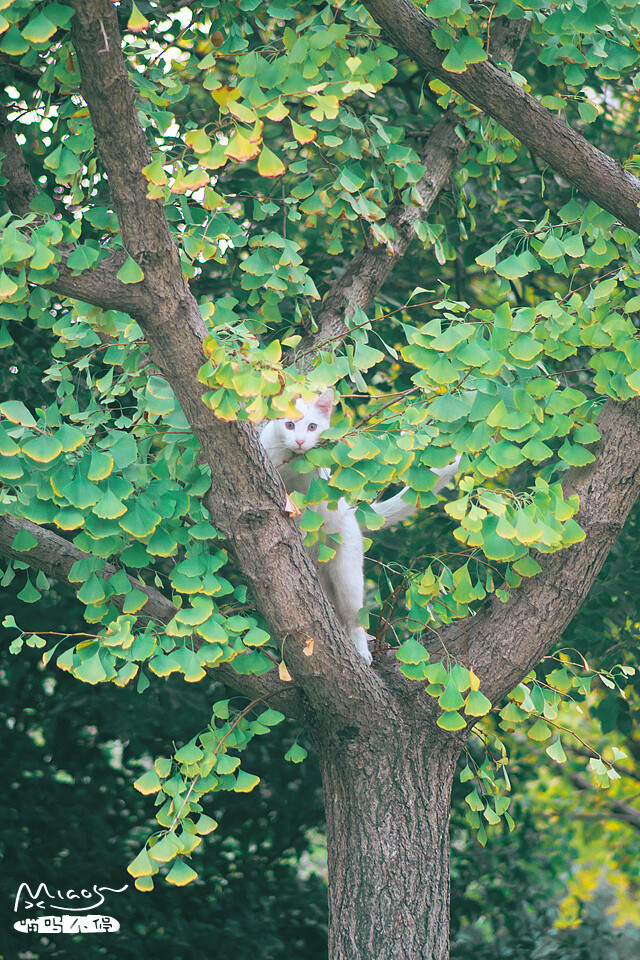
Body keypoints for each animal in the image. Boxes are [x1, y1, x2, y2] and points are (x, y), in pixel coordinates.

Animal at [260, 386, 460, 664]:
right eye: (289, 425)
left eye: (312, 427)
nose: (299, 441)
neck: (292, 467)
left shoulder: (313, 495)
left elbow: (303, 516)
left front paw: (297, 530)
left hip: (347, 575)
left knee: (353, 619)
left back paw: (362, 651)